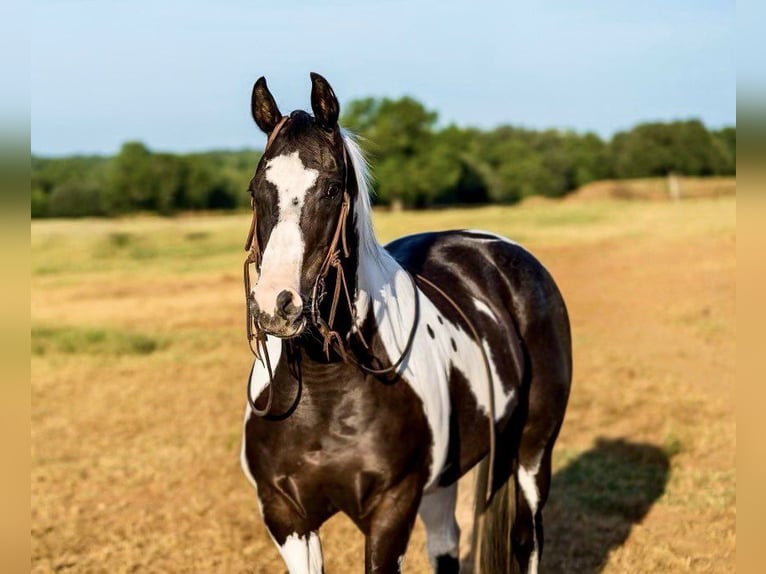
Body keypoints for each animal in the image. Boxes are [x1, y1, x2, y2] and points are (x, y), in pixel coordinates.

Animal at [240, 73, 568, 574]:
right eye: (258, 189)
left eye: (331, 189)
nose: (276, 304)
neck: (325, 388)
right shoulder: (286, 516)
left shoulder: (391, 509)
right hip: (445, 476)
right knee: (446, 542)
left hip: (532, 452)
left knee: (527, 538)